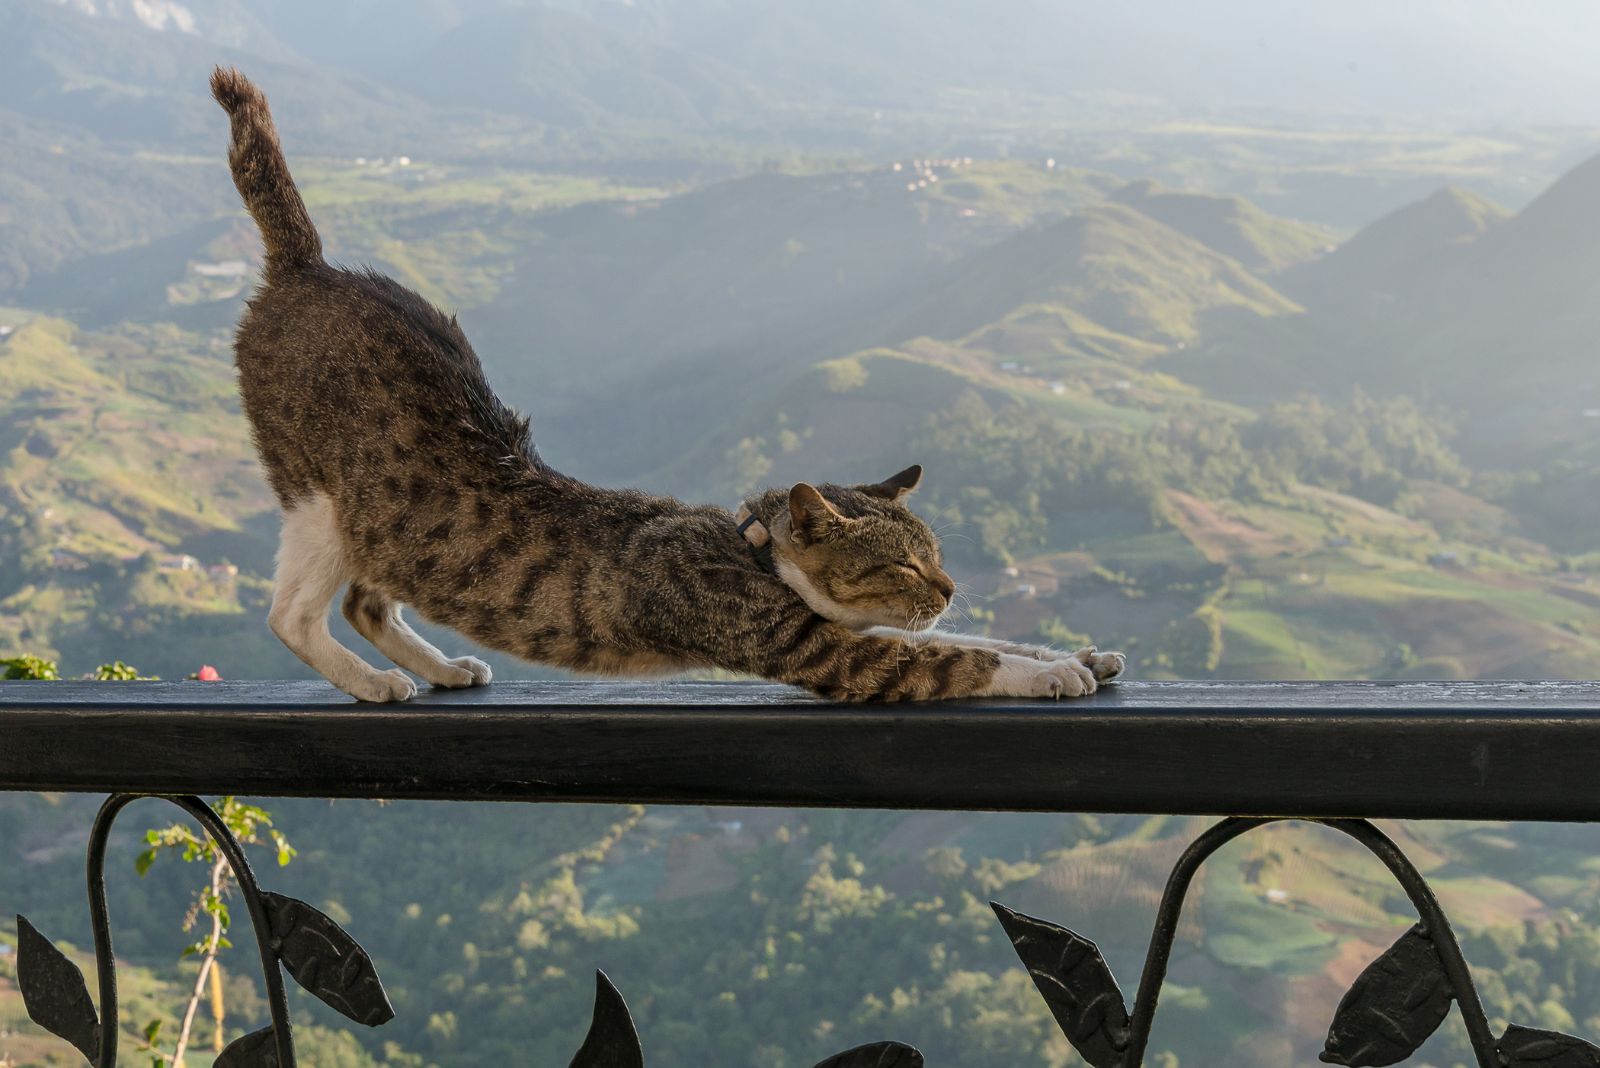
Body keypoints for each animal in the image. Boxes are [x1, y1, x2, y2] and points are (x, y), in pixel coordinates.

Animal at [209, 66, 1126, 700]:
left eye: (936, 556)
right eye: (903, 567)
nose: (950, 587)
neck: (756, 553)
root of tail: (307, 265)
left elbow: (977, 642)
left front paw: (1075, 651)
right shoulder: (818, 649)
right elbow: (950, 660)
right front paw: (1049, 673)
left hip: (386, 523)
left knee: (369, 601)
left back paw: (437, 667)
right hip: (319, 498)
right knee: (292, 613)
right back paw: (374, 681)